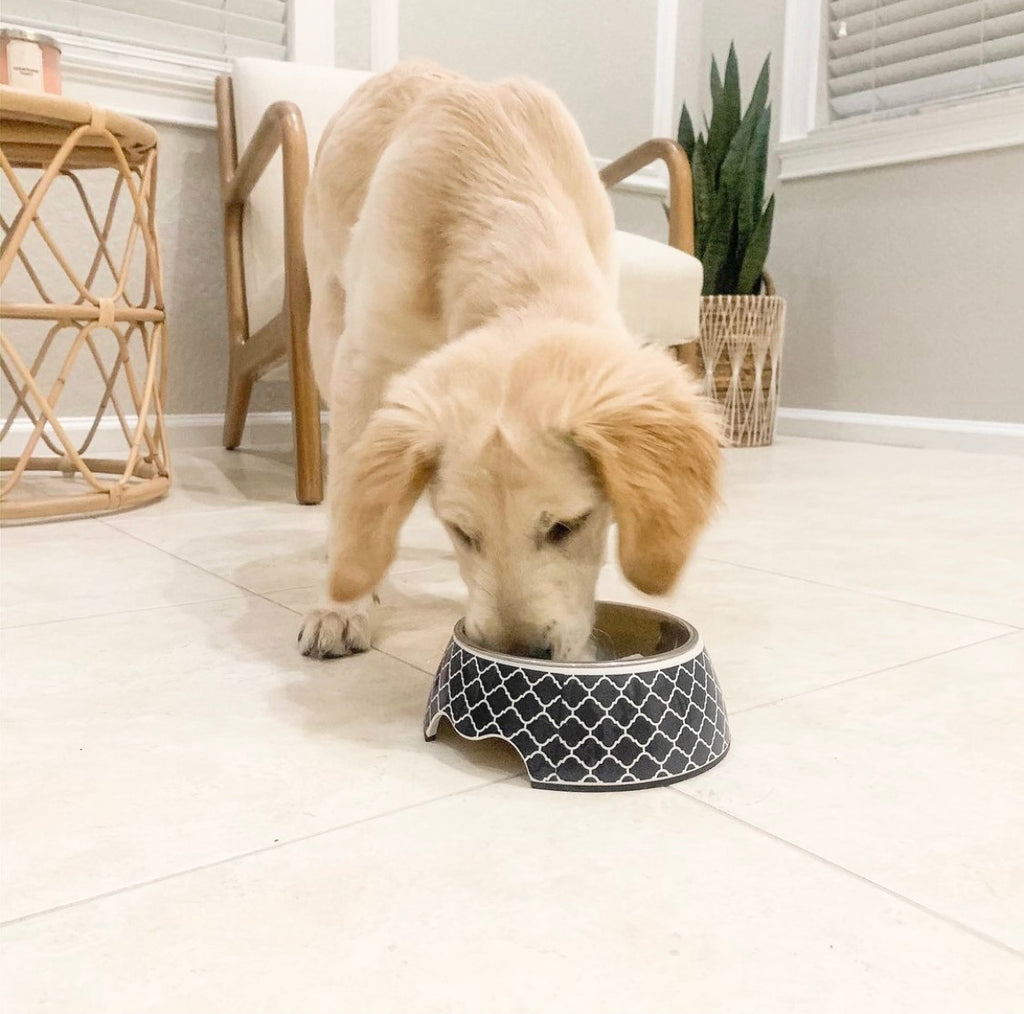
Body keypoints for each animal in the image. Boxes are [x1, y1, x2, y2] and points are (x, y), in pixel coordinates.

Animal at [294, 63, 720, 667]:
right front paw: (342, 605)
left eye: (569, 525)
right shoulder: (366, 362)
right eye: (461, 530)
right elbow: (356, 485)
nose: (521, 651)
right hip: (326, 331)